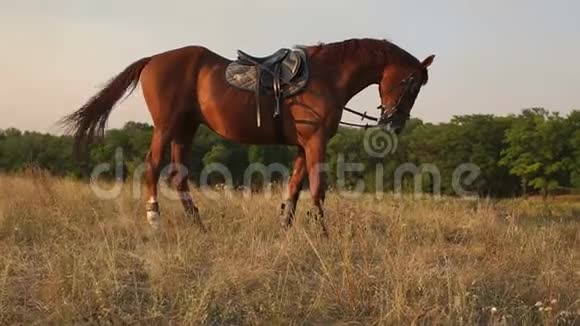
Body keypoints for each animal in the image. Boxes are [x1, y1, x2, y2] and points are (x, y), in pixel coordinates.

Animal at [62, 37, 436, 232]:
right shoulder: (315, 142)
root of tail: (154, 59)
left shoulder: (304, 145)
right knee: (153, 167)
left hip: (186, 129)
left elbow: (294, 187)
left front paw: (285, 228)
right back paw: (154, 218)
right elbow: (317, 188)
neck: (328, 76)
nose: (394, 124)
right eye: (412, 84)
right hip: (166, 127)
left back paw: (198, 224)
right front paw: (323, 233)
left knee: (178, 175)